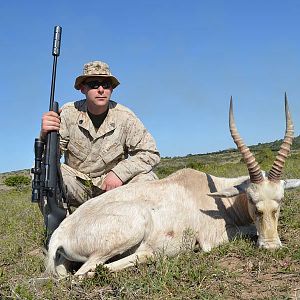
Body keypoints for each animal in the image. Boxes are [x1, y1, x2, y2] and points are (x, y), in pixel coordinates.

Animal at [45, 96, 300, 278]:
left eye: (279, 202)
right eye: (252, 201)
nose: (271, 246)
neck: (214, 196)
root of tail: (60, 233)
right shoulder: (213, 238)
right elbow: (244, 232)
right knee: (86, 273)